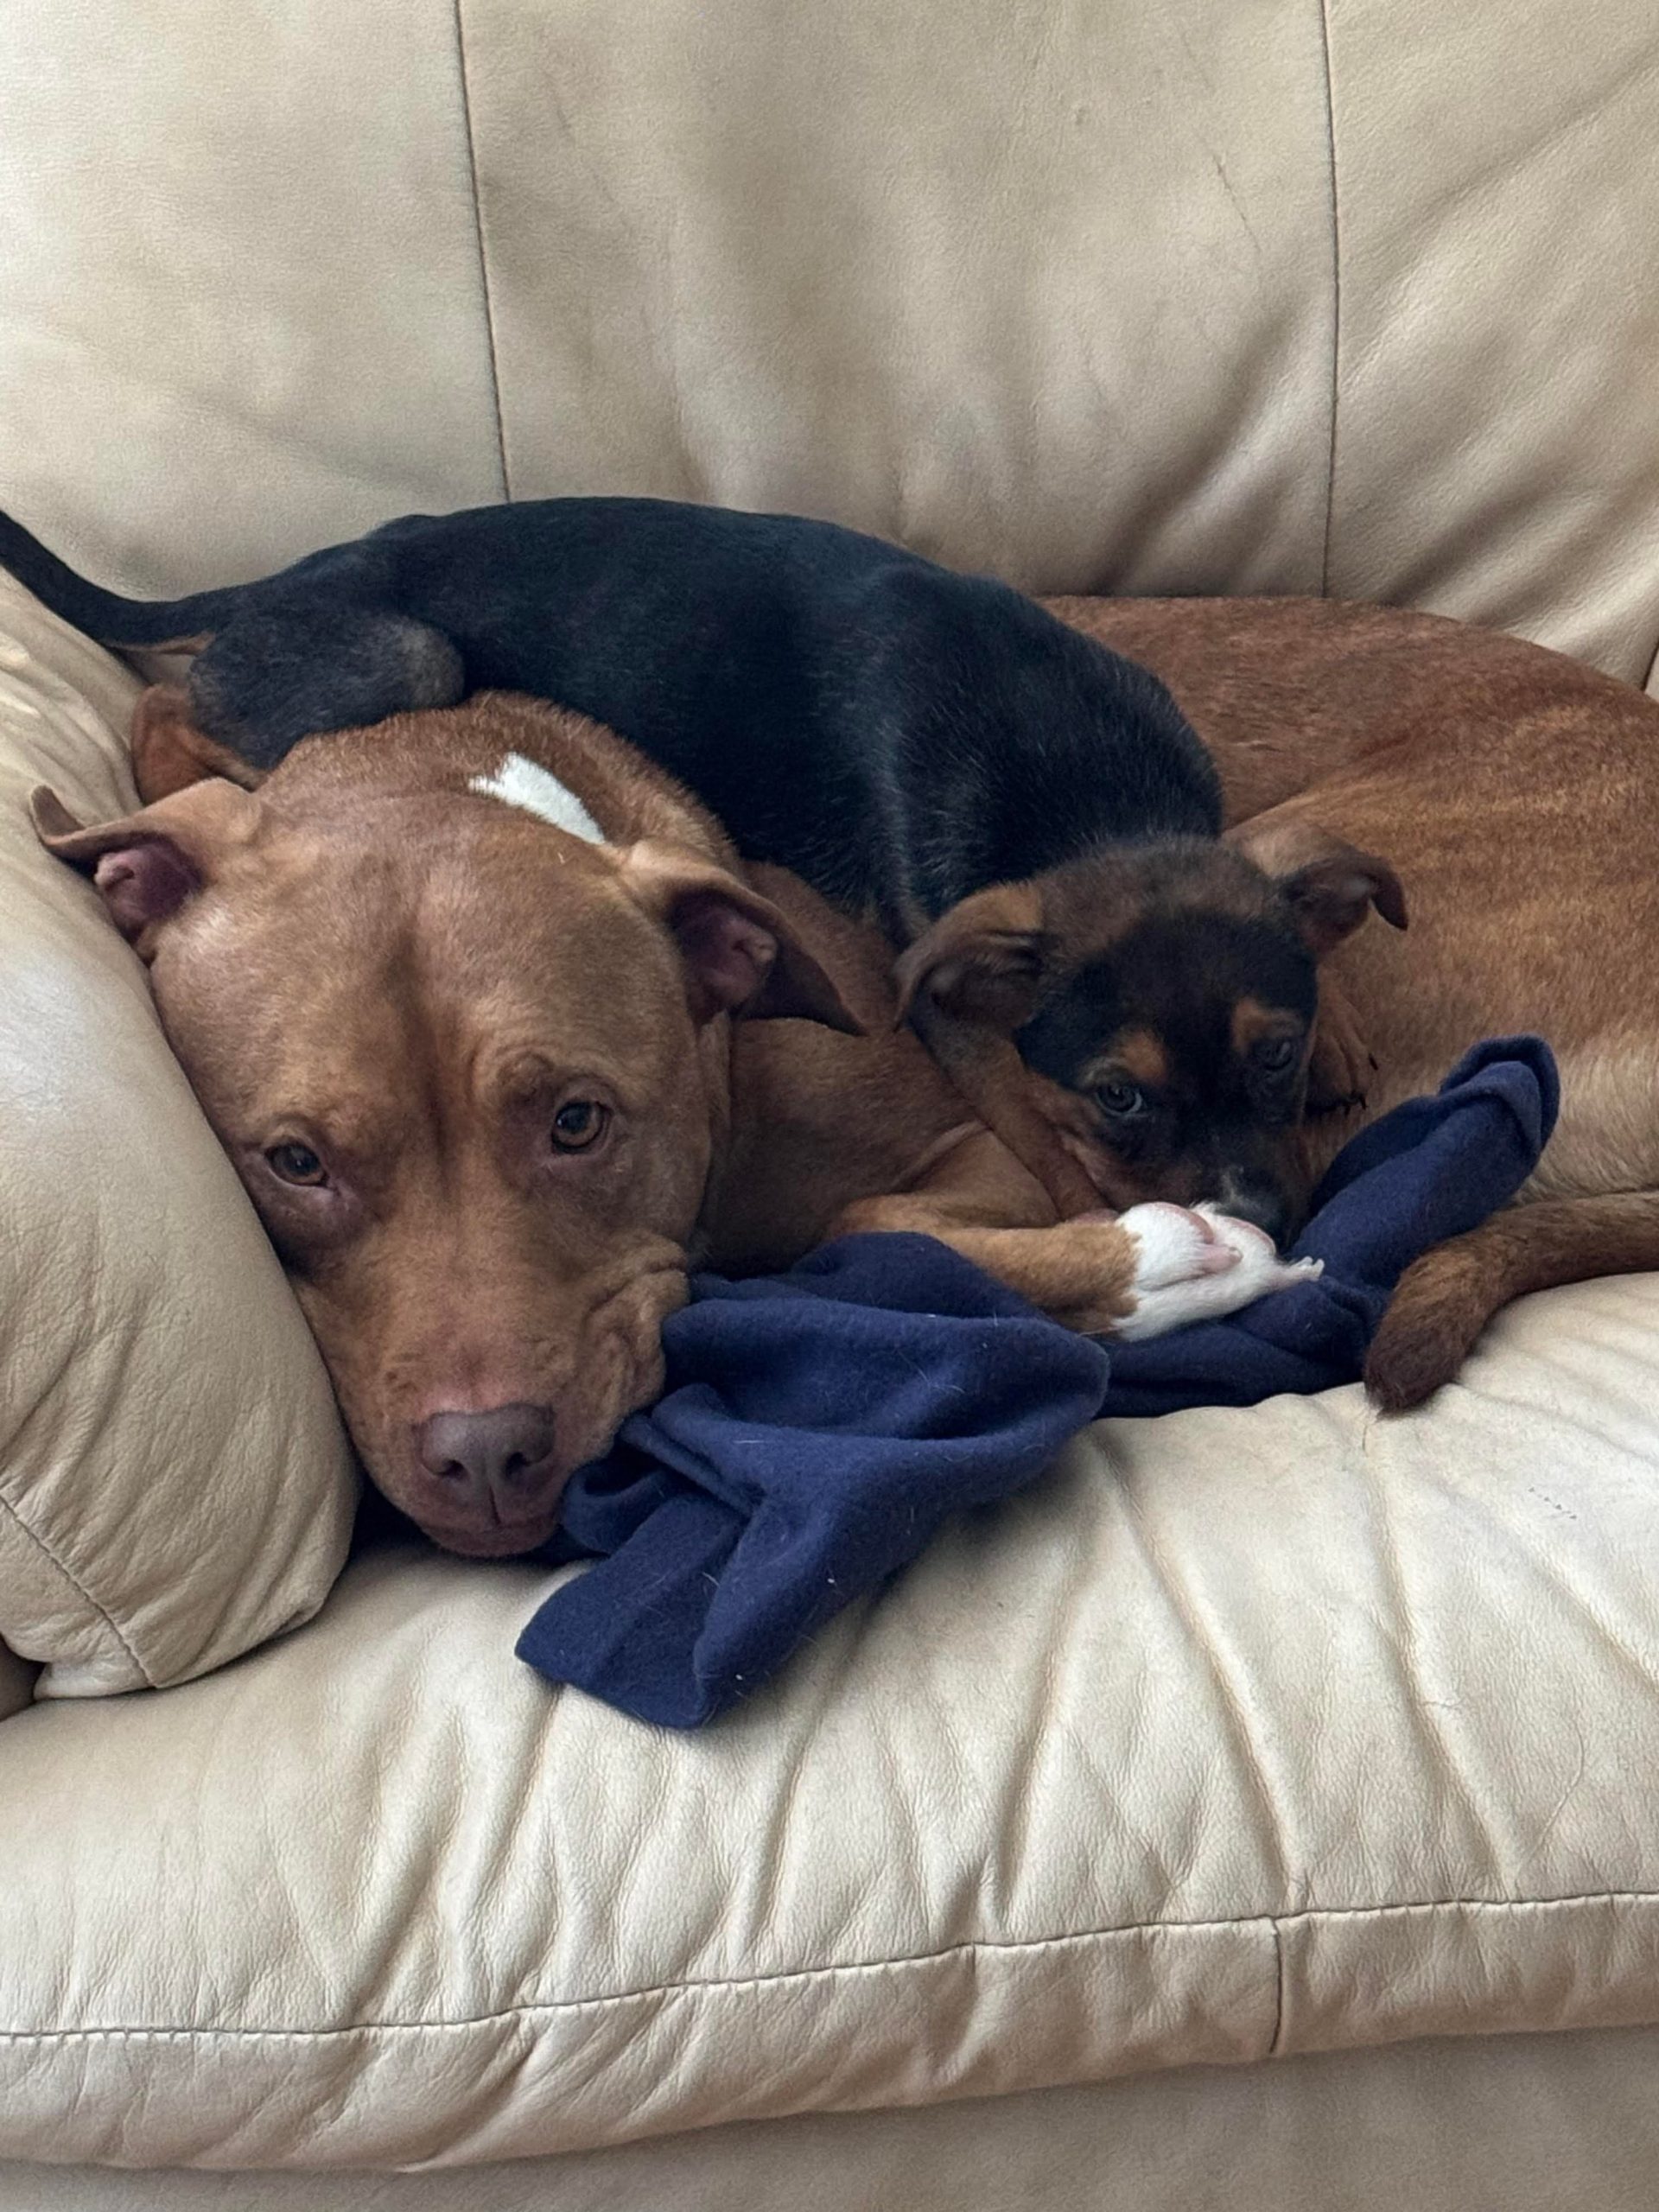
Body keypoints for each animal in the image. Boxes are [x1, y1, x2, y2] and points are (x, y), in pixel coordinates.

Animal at [0, 498, 1403, 1236]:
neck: (1096, 806)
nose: (1268, 1221)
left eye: (1276, 1056)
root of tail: (292, 568)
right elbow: (1029, 1126)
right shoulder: (951, 995)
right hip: (399, 662)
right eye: (1119, 1096)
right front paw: (1105, 1225)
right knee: (165, 707)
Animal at [32, 691, 1312, 1557]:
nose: (484, 1456)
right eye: (296, 1162)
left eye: (578, 1122)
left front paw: (1183, 1256)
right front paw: (1174, 1257)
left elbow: (879, 1219)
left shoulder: (974, 1142)